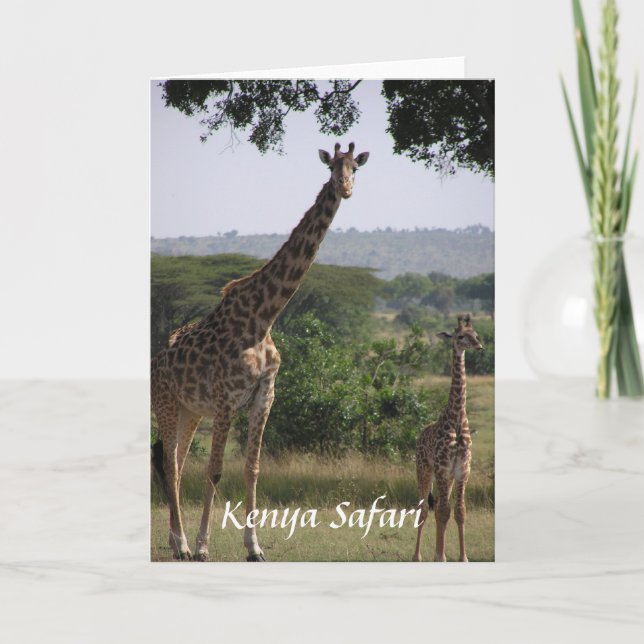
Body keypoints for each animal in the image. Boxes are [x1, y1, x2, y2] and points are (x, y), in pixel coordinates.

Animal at [151, 142, 369, 561]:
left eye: (356, 168)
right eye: (333, 167)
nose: (346, 188)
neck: (263, 318)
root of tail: (155, 360)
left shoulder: (264, 396)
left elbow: (252, 470)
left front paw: (254, 548)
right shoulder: (225, 399)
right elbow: (216, 470)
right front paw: (203, 547)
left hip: (190, 410)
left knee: (178, 464)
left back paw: (175, 541)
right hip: (167, 403)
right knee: (169, 464)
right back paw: (183, 545)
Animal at [413, 314, 484, 562]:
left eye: (476, 334)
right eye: (460, 336)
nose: (479, 347)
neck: (457, 418)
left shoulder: (463, 469)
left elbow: (459, 511)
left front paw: (463, 558)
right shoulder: (442, 468)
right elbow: (442, 512)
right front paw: (440, 556)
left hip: (448, 478)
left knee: (439, 508)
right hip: (424, 470)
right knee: (424, 509)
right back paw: (417, 556)